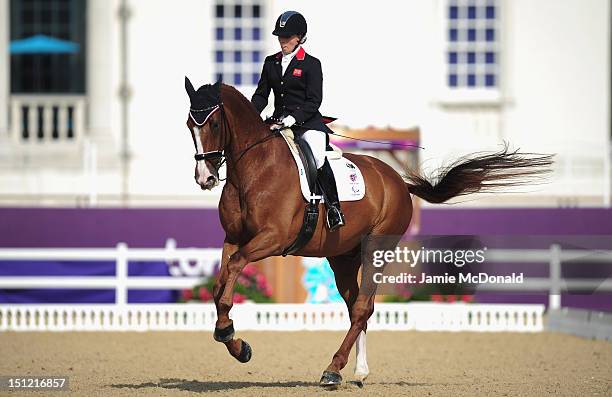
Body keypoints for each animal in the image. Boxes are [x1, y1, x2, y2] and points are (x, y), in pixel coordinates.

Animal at [184, 78, 552, 386]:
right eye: (189, 125)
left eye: (213, 123)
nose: (205, 178)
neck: (254, 168)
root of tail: (398, 182)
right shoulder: (234, 239)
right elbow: (219, 284)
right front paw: (235, 343)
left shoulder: (272, 239)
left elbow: (233, 269)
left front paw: (229, 334)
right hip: (343, 257)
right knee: (356, 306)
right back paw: (357, 371)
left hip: (376, 248)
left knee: (362, 307)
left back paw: (333, 369)